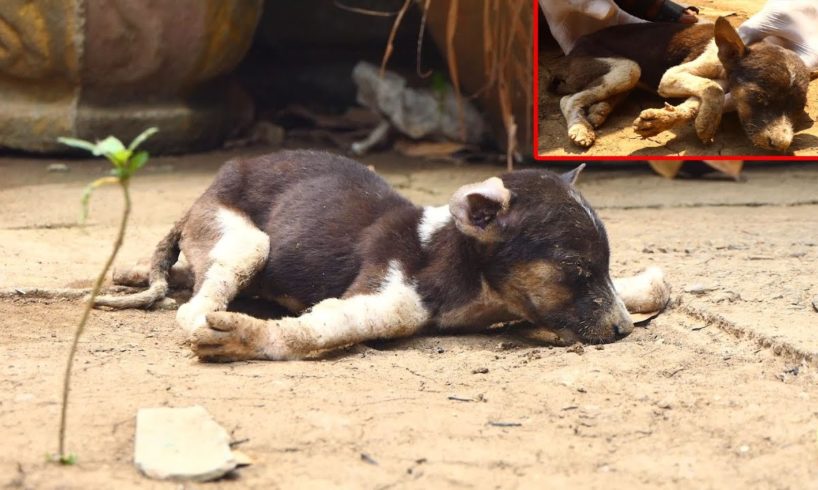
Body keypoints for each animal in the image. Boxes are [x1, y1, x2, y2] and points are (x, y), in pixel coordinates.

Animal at [95, 151, 668, 362]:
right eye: (575, 271)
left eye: (603, 268)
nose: (623, 332)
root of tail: (201, 196)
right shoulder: (387, 299)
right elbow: (318, 329)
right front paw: (244, 337)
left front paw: (647, 287)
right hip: (246, 241)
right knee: (195, 305)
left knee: (186, 276)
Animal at [548, 16, 808, 151]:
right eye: (758, 98)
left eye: (797, 109)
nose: (782, 145)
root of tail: (570, 52)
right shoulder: (671, 76)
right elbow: (711, 88)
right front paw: (707, 125)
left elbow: (697, 101)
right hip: (628, 69)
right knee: (567, 99)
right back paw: (580, 128)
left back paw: (599, 111)